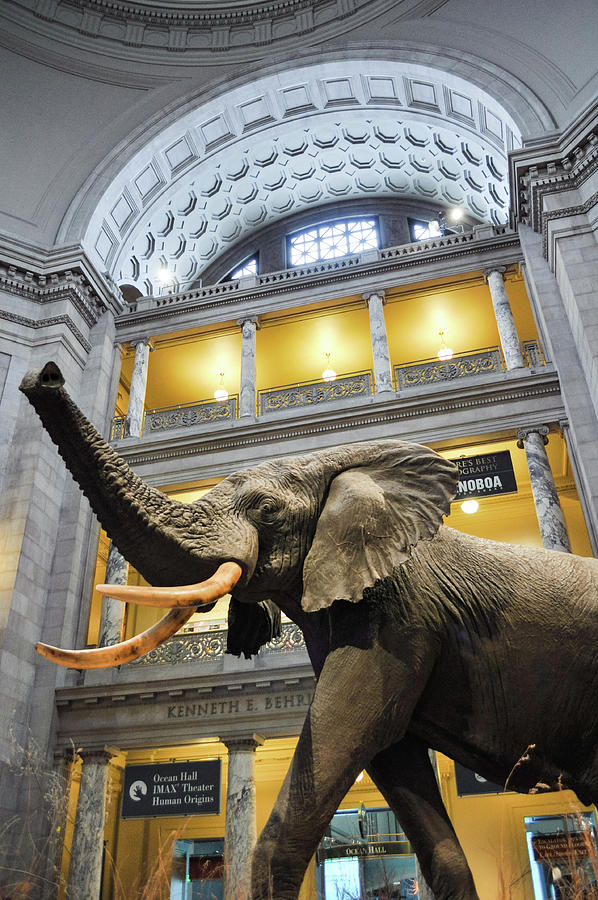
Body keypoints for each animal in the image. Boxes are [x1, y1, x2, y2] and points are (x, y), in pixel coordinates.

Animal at [21, 362, 598, 900]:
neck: (340, 468)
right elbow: (393, 760)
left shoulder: (399, 617)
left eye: (267, 510)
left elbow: (346, 738)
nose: (43, 376)